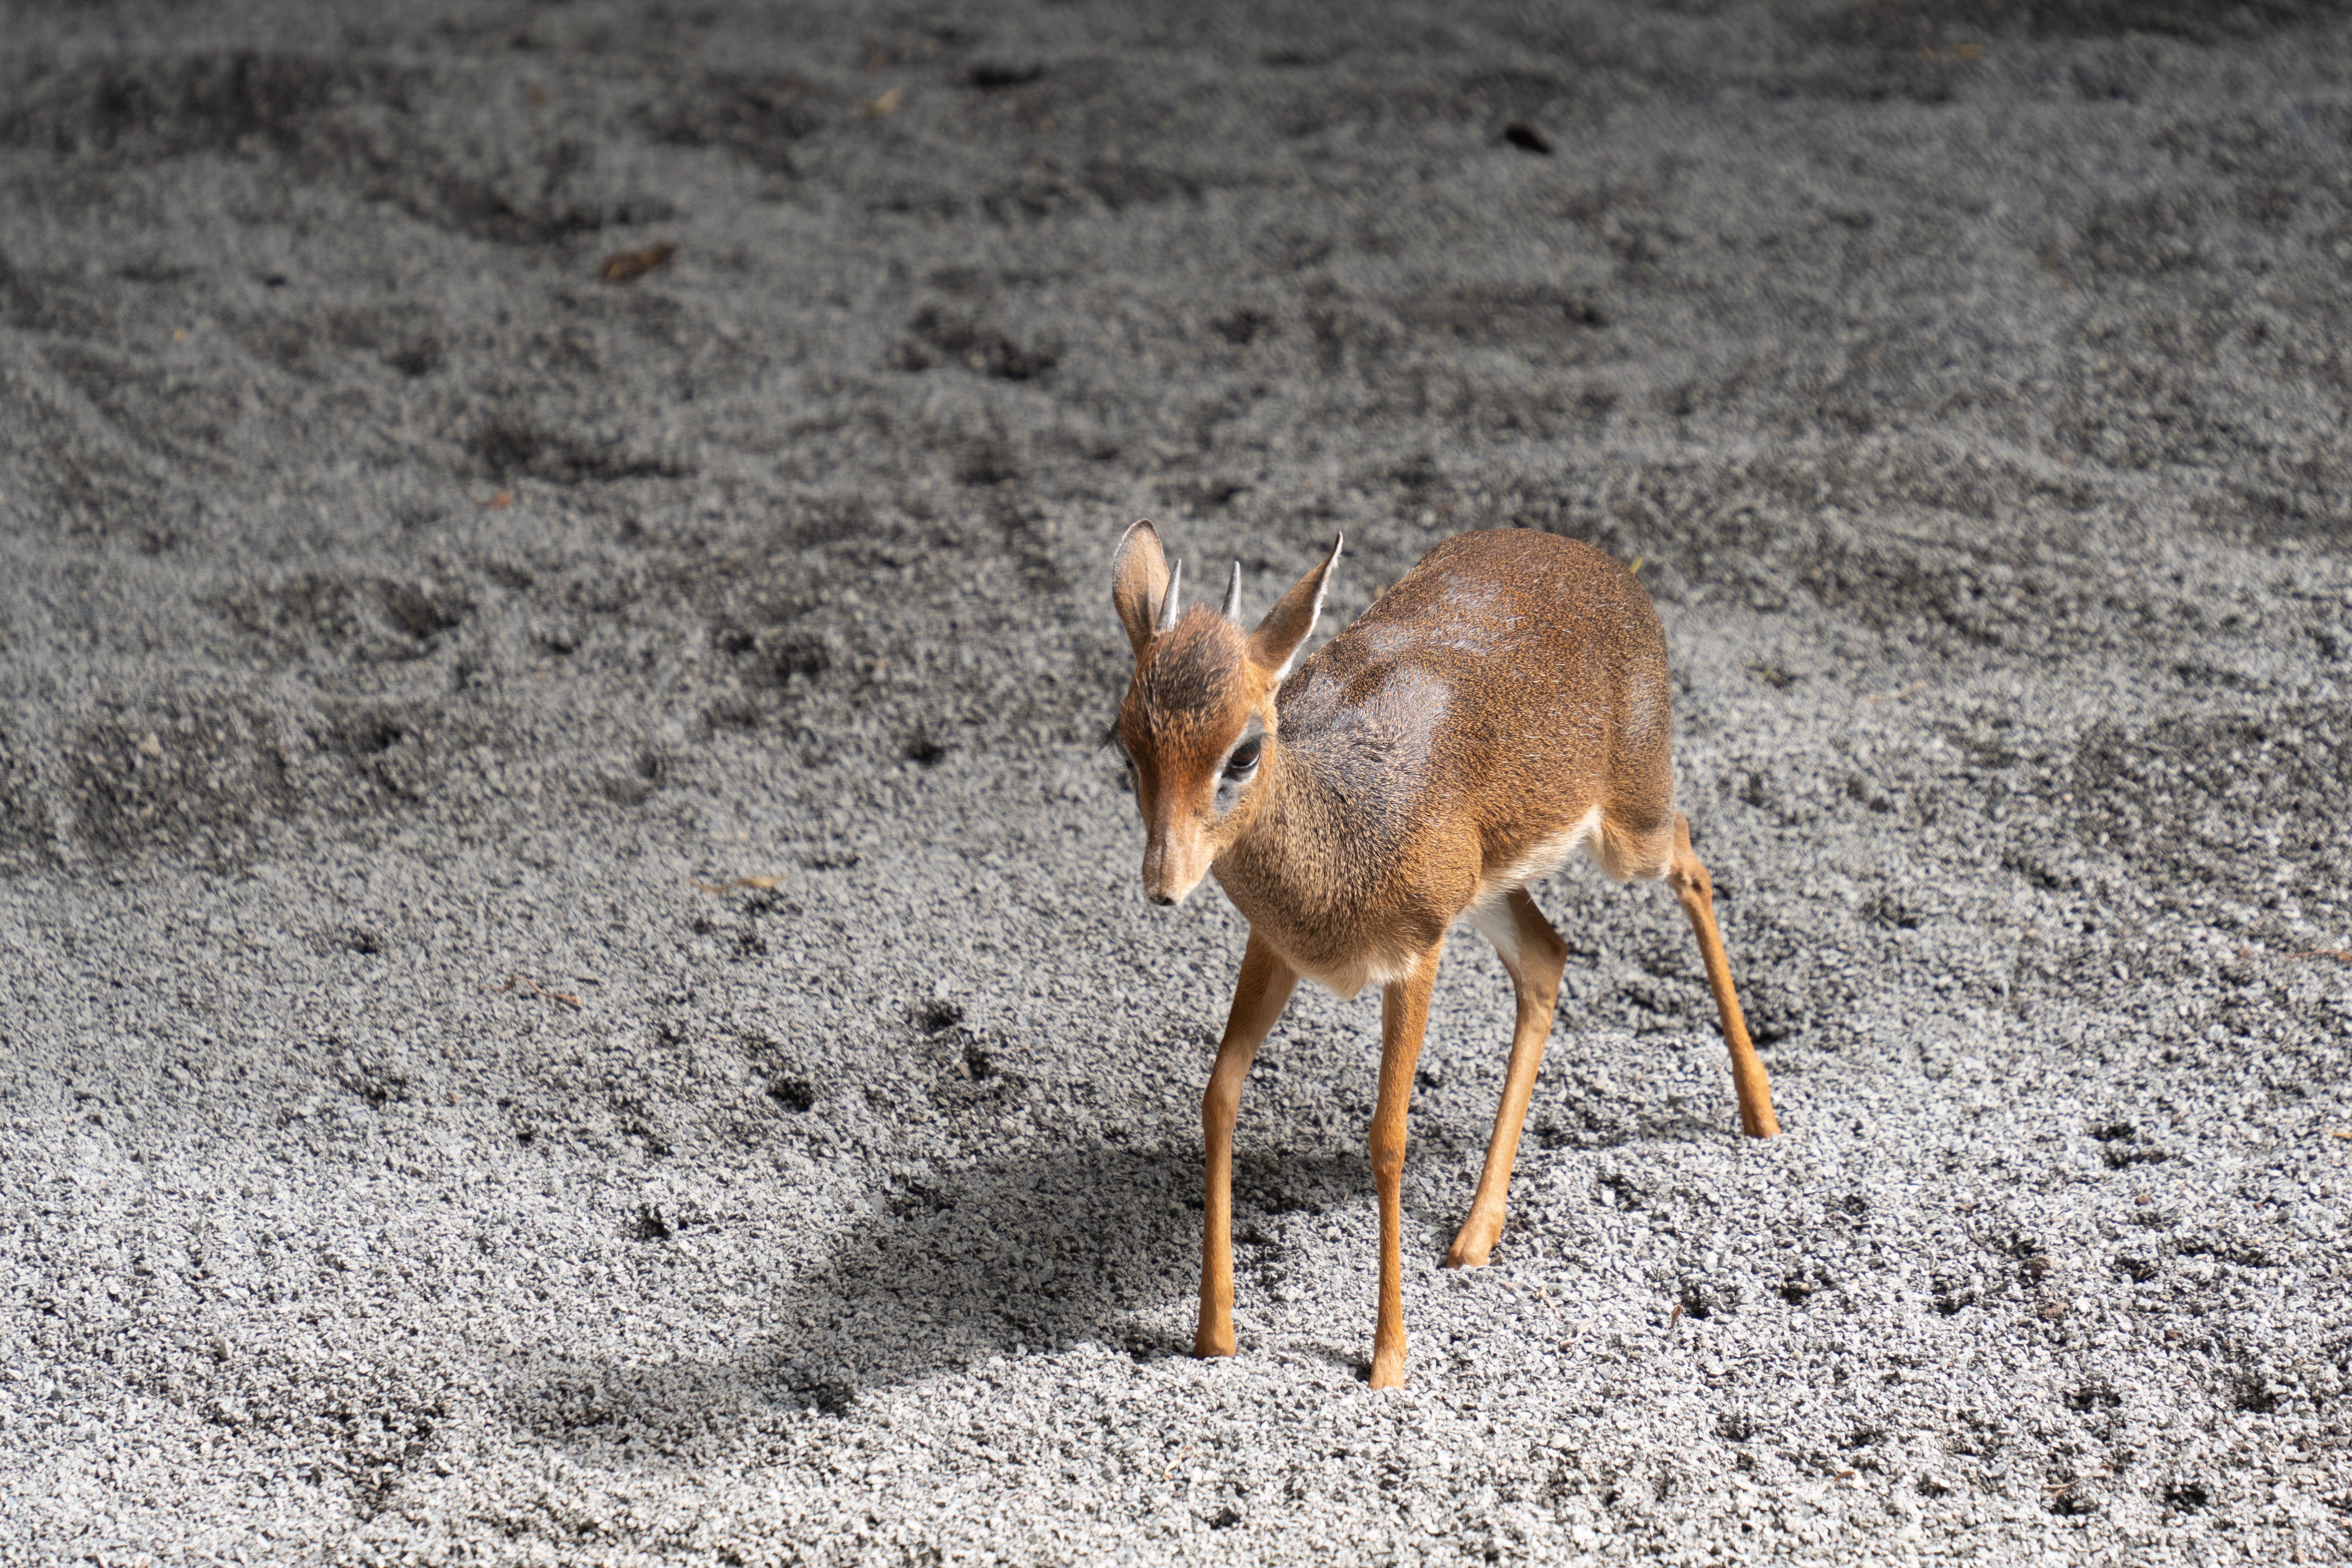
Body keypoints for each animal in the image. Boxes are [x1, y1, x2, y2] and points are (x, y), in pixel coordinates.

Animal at [1110, 521, 1778, 1390]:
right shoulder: (1277, 947)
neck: (1337, 837)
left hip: (1630, 828)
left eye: (1245, 751)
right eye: (1126, 744)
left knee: (1692, 861)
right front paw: (1212, 1333)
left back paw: (1760, 1111)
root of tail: (1599, 561)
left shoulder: (1415, 953)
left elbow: (1387, 1136)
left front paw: (1388, 1358)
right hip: (1489, 883)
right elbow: (1218, 1094)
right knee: (1547, 955)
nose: (1165, 883)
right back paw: (1474, 1232)